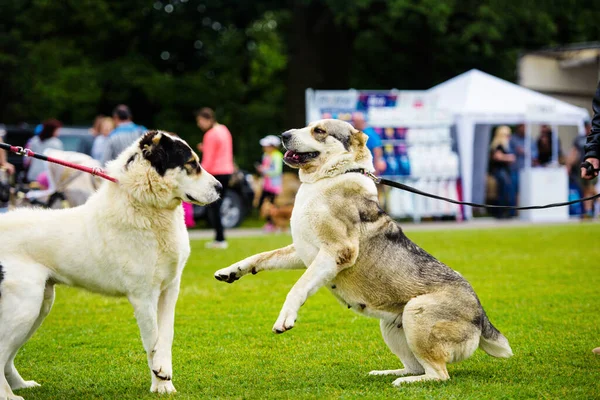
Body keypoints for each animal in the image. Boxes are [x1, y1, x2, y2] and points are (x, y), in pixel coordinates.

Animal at [0, 131, 220, 400]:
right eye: (191, 163)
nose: (221, 187)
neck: (147, 205)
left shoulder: (170, 289)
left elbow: (166, 335)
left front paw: (164, 379)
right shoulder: (143, 295)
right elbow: (152, 339)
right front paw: (160, 380)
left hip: (41, 304)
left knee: (7, 356)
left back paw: (20, 385)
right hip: (25, 304)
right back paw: (8, 394)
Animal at [216, 119, 510, 388]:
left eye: (319, 131)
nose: (284, 135)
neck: (328, 178)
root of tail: (481, 315)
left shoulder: (336, 251)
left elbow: (298, 288)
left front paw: (285, 319)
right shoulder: (303, 252)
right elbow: (261, 257)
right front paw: (230, 271)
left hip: (416, 313)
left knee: (438, 374)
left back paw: (404, 382)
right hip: (392, 326)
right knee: (416, 366)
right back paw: (386, 373)